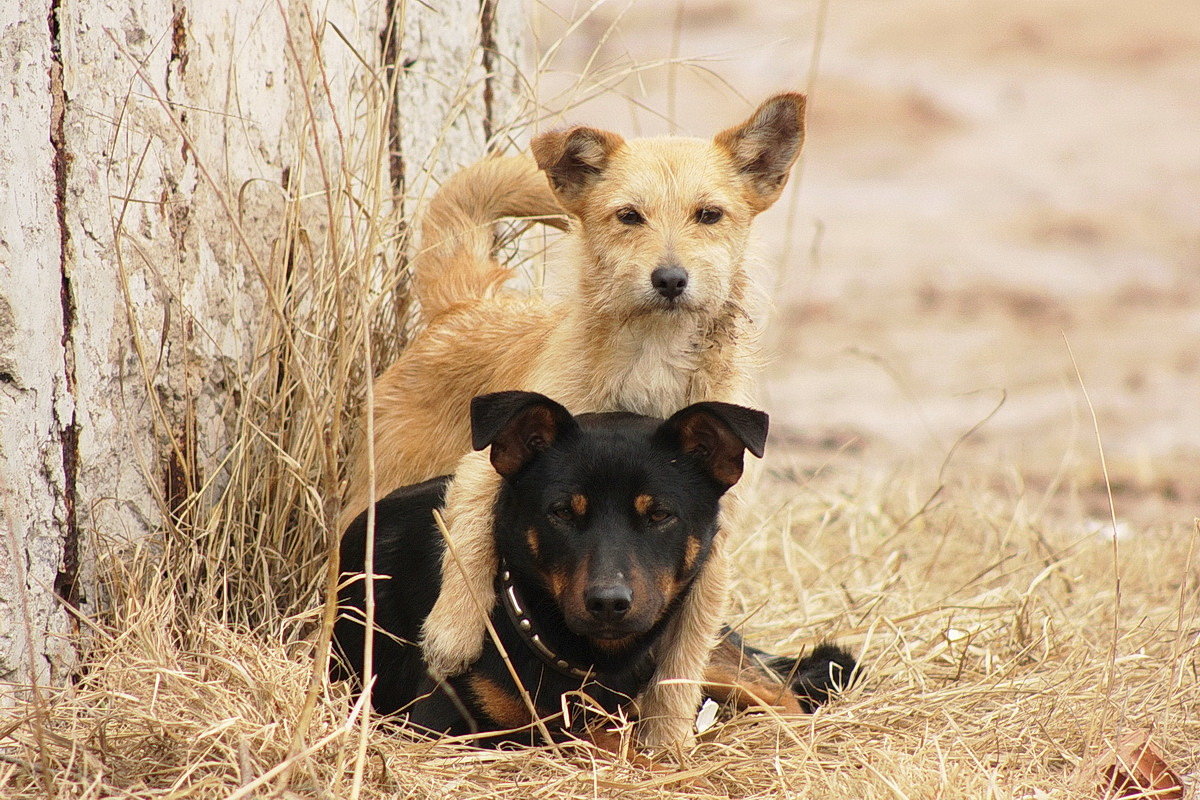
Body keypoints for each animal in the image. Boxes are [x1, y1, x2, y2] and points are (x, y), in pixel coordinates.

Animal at [340, 92, 806, 743]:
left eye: (709, 215)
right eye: (628, 216)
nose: (670, 279)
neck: (652, 358)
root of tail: (466, 303)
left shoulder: (715, 542)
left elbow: (684, 655)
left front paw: (667, 741)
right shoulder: (483, 472)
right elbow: (470, 545)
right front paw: (452, 635)